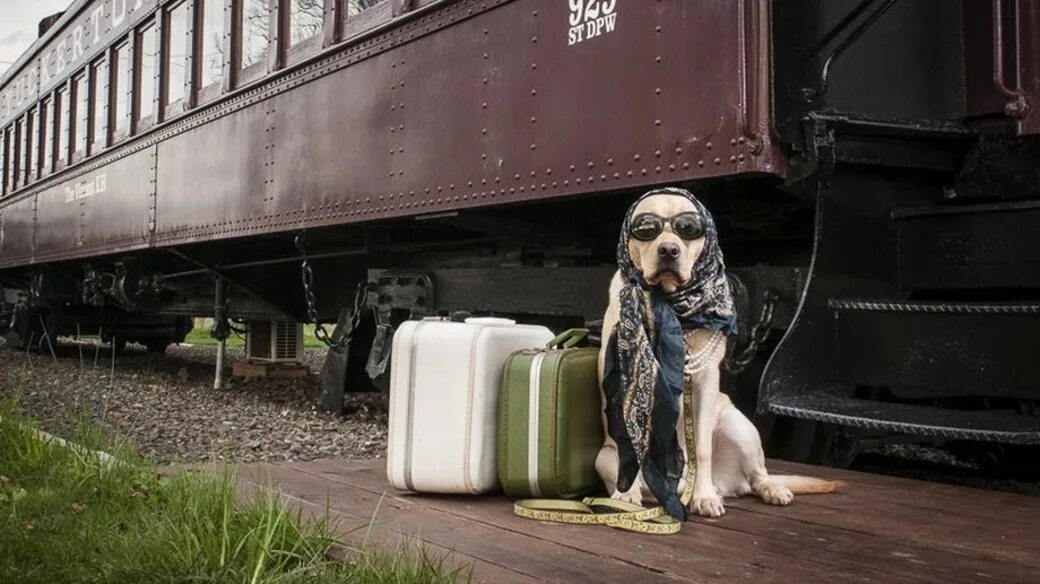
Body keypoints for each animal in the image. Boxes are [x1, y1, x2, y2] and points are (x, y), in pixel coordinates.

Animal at [594, 186, 844, 513]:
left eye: (687, 228)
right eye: (646, 227)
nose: (669, 250)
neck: (672, 303)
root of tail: (728, 483)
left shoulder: (704, 381)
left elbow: (701, 448)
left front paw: (703, 497)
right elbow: (631, 445)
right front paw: (625, 495)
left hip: (738, 425)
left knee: (758, 474)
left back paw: (767, 489)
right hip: (604, 456)